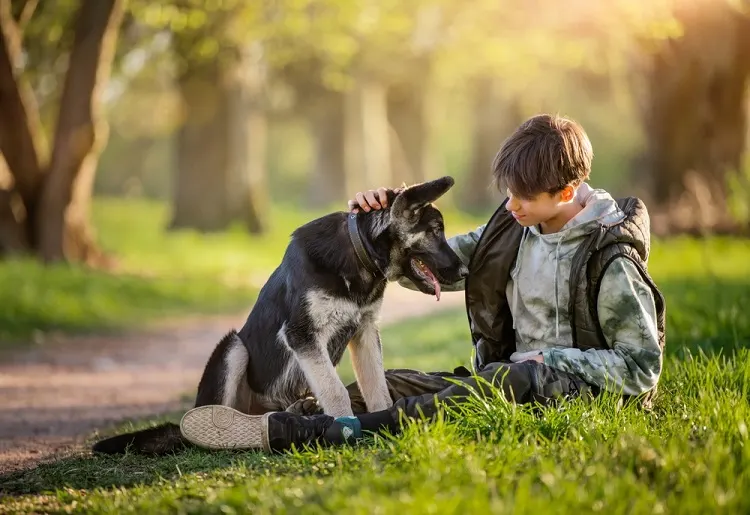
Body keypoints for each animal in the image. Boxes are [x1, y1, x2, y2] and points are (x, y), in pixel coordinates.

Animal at [91, 176, 468, 456]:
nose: (465, 271)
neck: (358, 254)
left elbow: (377, 389)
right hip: (234, 347)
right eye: (435, 231)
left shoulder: (364, 332)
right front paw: (345, 427)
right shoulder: (302, 334)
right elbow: (336, 390)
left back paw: (297, 413)